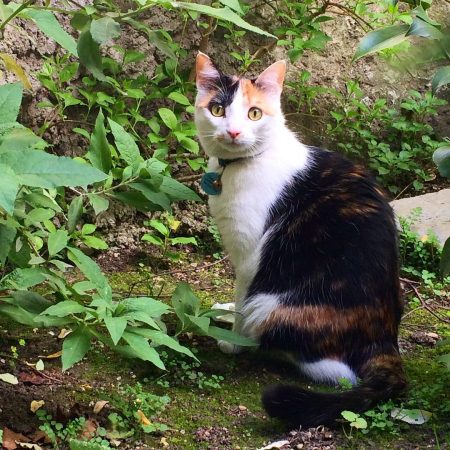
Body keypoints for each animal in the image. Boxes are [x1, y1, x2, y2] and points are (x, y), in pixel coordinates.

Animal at [194, 52, 406, 428]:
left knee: (338, 372)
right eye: (217, 110)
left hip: (275, 308)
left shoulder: (250, 255)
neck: (236, 168)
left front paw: (233, 340)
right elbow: (237, 298)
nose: (233, 131)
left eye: (254, 113)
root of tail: (384, 339)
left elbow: (243, 292)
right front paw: (228, 311)